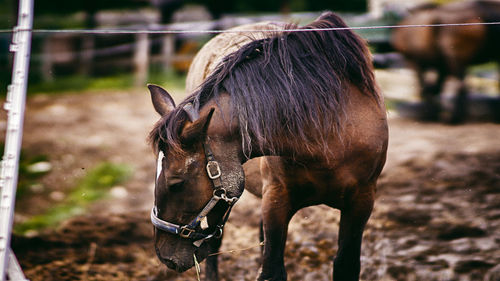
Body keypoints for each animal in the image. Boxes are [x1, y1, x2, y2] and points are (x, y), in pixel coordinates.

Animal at [146, 12, 388, 278]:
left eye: (176, 183)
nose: (164, 256)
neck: (331, 134)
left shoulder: (361, 201)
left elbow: (345, 265)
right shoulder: (276, 198)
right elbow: (272, 268)